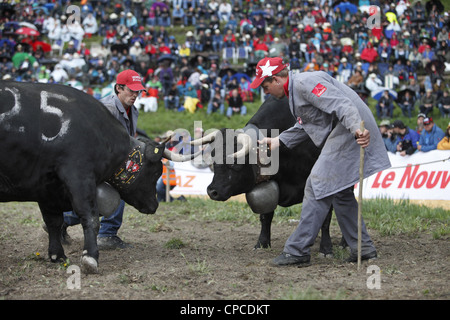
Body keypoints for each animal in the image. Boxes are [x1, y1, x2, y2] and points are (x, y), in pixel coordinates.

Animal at [0, 81, 191, 274]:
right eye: (156, 172)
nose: (154, 205)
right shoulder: (79, 176)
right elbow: (90, 217)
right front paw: (90, 257)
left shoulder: (46, 187)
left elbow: (53, 221)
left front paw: (57, 255)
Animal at [192, 95, 336, 255]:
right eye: (213, 157)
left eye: (235, 162)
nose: (212, 191)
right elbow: (266, 216)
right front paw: (262, 243)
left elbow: (326, 217)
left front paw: (326, 248)